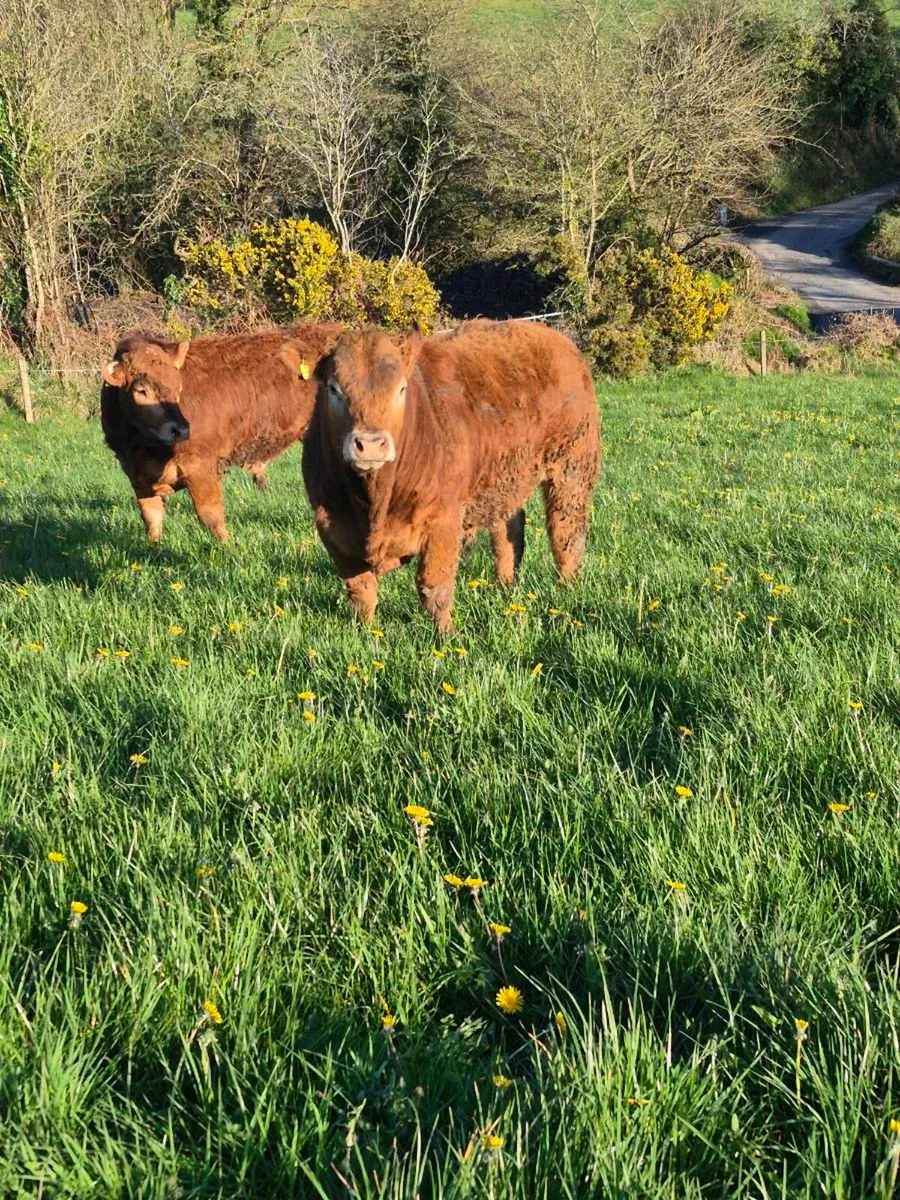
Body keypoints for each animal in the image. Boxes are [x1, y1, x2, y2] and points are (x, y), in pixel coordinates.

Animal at [100, 323, 341, 544]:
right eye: (142, 390)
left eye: (179, 386)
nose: (181, 429)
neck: (142, 447)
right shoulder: (137, 476)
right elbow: (152, 518)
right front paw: (154, 547)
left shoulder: (201, 466)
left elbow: (210, 516)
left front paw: (226, 548)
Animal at [302, 319, 601, 633]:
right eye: (334, 389)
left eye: (401, 389)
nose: (369, 444)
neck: (372, 504)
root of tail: (558, 340)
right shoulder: (332, 525)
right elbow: (361, 591)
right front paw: (366, 633)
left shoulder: (442, 520)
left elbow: (434, 588)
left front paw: (447, 634)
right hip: (504, 479)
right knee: (509, 534)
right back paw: (505, 585)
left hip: (572, 467)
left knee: (565, 532)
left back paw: (567, 587)